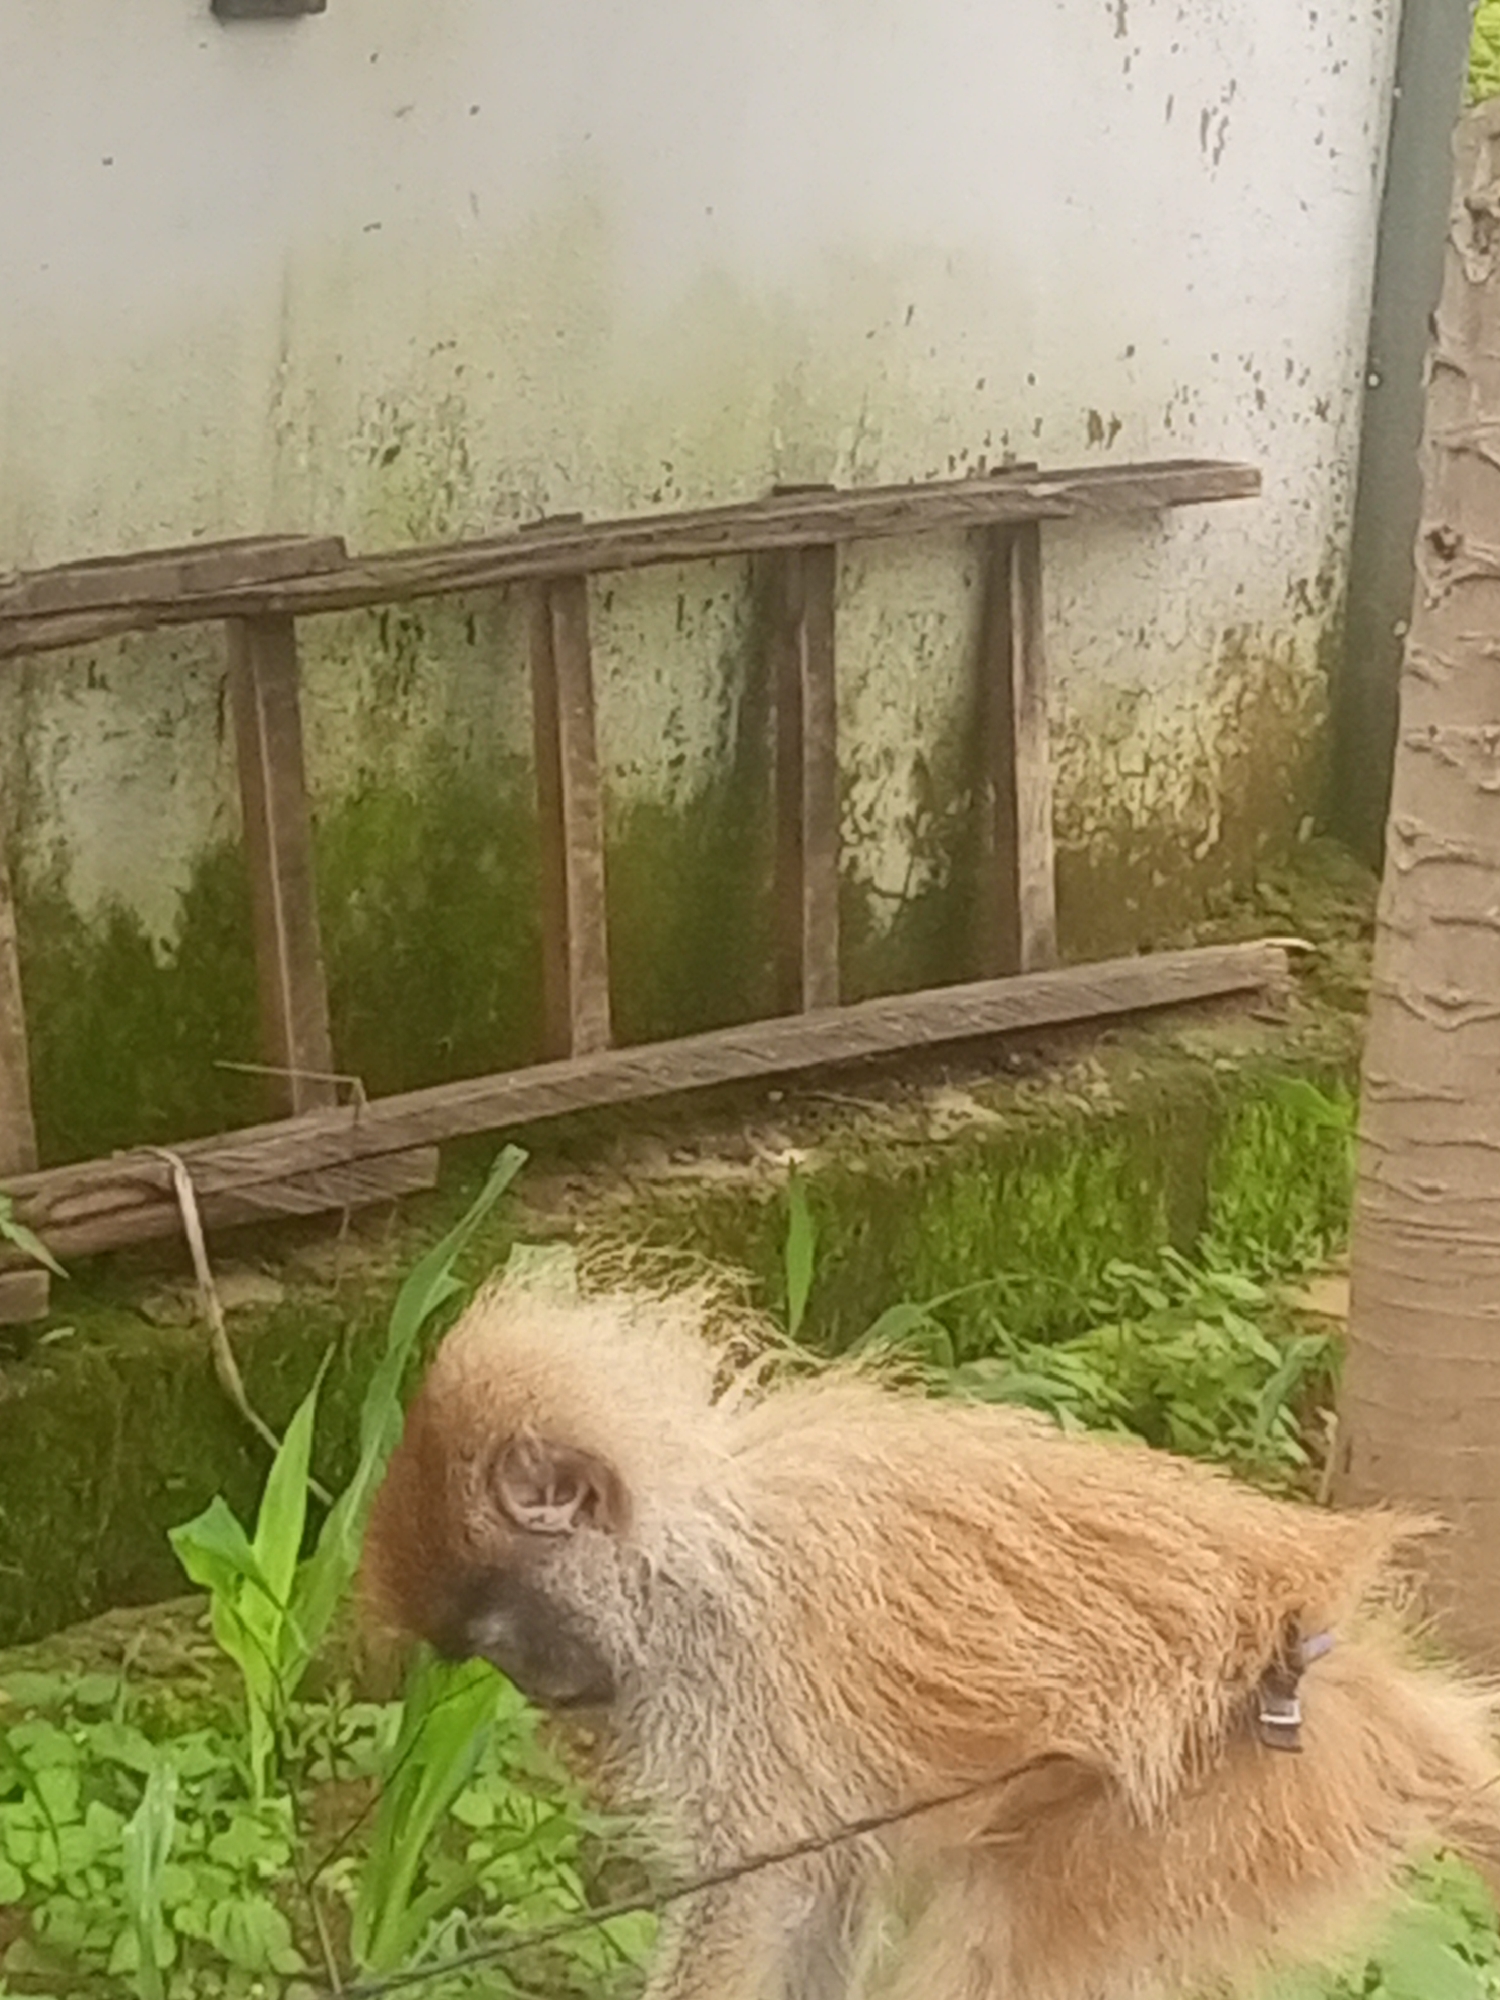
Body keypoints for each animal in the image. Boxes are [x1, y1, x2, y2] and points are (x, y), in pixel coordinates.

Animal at [362, 1275, 1500, 2000]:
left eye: (510, 1638)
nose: (543, 1686)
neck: (706, 1517)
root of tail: (1357, 1677)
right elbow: (823, 1883)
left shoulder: (744, 1650)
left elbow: (756, 1892)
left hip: (1225, 1800)